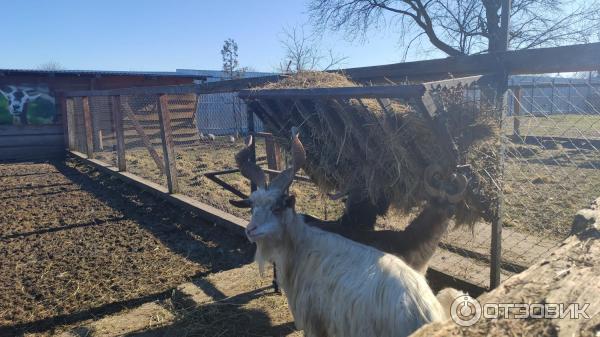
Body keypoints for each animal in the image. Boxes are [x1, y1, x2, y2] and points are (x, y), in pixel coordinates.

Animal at [232, 129, 448, 336]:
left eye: (277, 207)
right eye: (252, 206)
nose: (250, 230)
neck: (301, 244)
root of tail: (426, 312)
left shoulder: (314, 323)